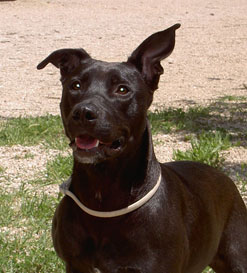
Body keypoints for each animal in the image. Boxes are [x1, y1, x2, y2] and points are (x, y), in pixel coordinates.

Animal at [37, 24, 247, 270]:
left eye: (122, 89)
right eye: (75, 85)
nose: (83, 112)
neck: (103, 195)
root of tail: (223, 176)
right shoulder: (75, 264)